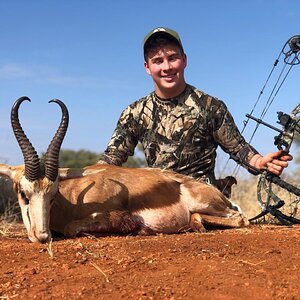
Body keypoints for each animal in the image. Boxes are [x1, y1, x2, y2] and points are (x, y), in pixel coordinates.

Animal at [0, 97, 248, 243]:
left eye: (53, 195)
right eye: (23, 193)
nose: (42, 237)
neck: (73, 197)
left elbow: (72, 228)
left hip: (207, 205)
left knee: (241, 219)